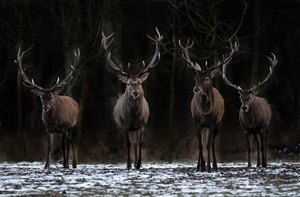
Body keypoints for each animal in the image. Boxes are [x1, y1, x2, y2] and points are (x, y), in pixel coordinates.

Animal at [102, 27, 163, 169]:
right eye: (128, 83)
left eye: (140, 82)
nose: (135, 93)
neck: (133, 116)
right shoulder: (124, 125)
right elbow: (128, 144)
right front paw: (129, 164)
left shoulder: (142, 124)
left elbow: (140, 143)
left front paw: (139, 163)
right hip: (129, 128)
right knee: (132, 143)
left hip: (136, 128)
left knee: (136, 142)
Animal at [178, 39, 239, 171]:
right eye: (196, 77)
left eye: (206, 78)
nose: (196, 89)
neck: (205, 113)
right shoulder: (197, 123)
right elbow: (200, 145)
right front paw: (200, 167)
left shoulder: (212, 123)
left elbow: (207, 145)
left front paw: (209, 167)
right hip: (203, 126)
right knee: (204, 142)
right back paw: (201, 165)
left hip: (218, 123)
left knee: (212, 142)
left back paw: (214, 166)